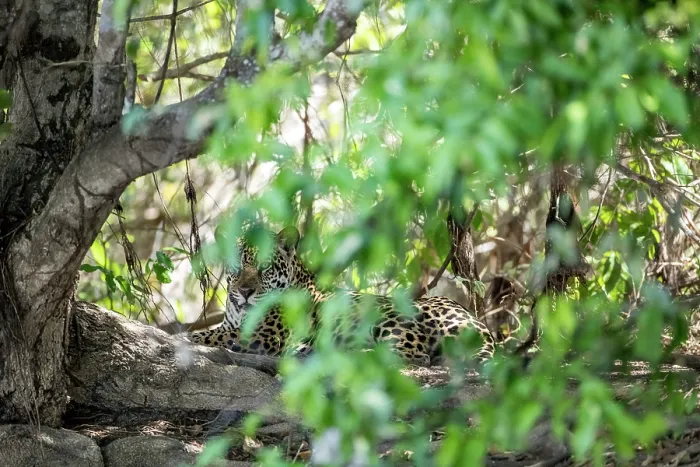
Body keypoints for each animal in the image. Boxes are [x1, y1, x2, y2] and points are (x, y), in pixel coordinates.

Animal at [188, 226, 495, 366]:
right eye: (237, 267)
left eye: (265, 268)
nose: (245, 292)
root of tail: (478, 323)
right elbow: (212, 332)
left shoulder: (265, 335)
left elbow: (206, 336)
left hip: (386, 316)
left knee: (411, 356)